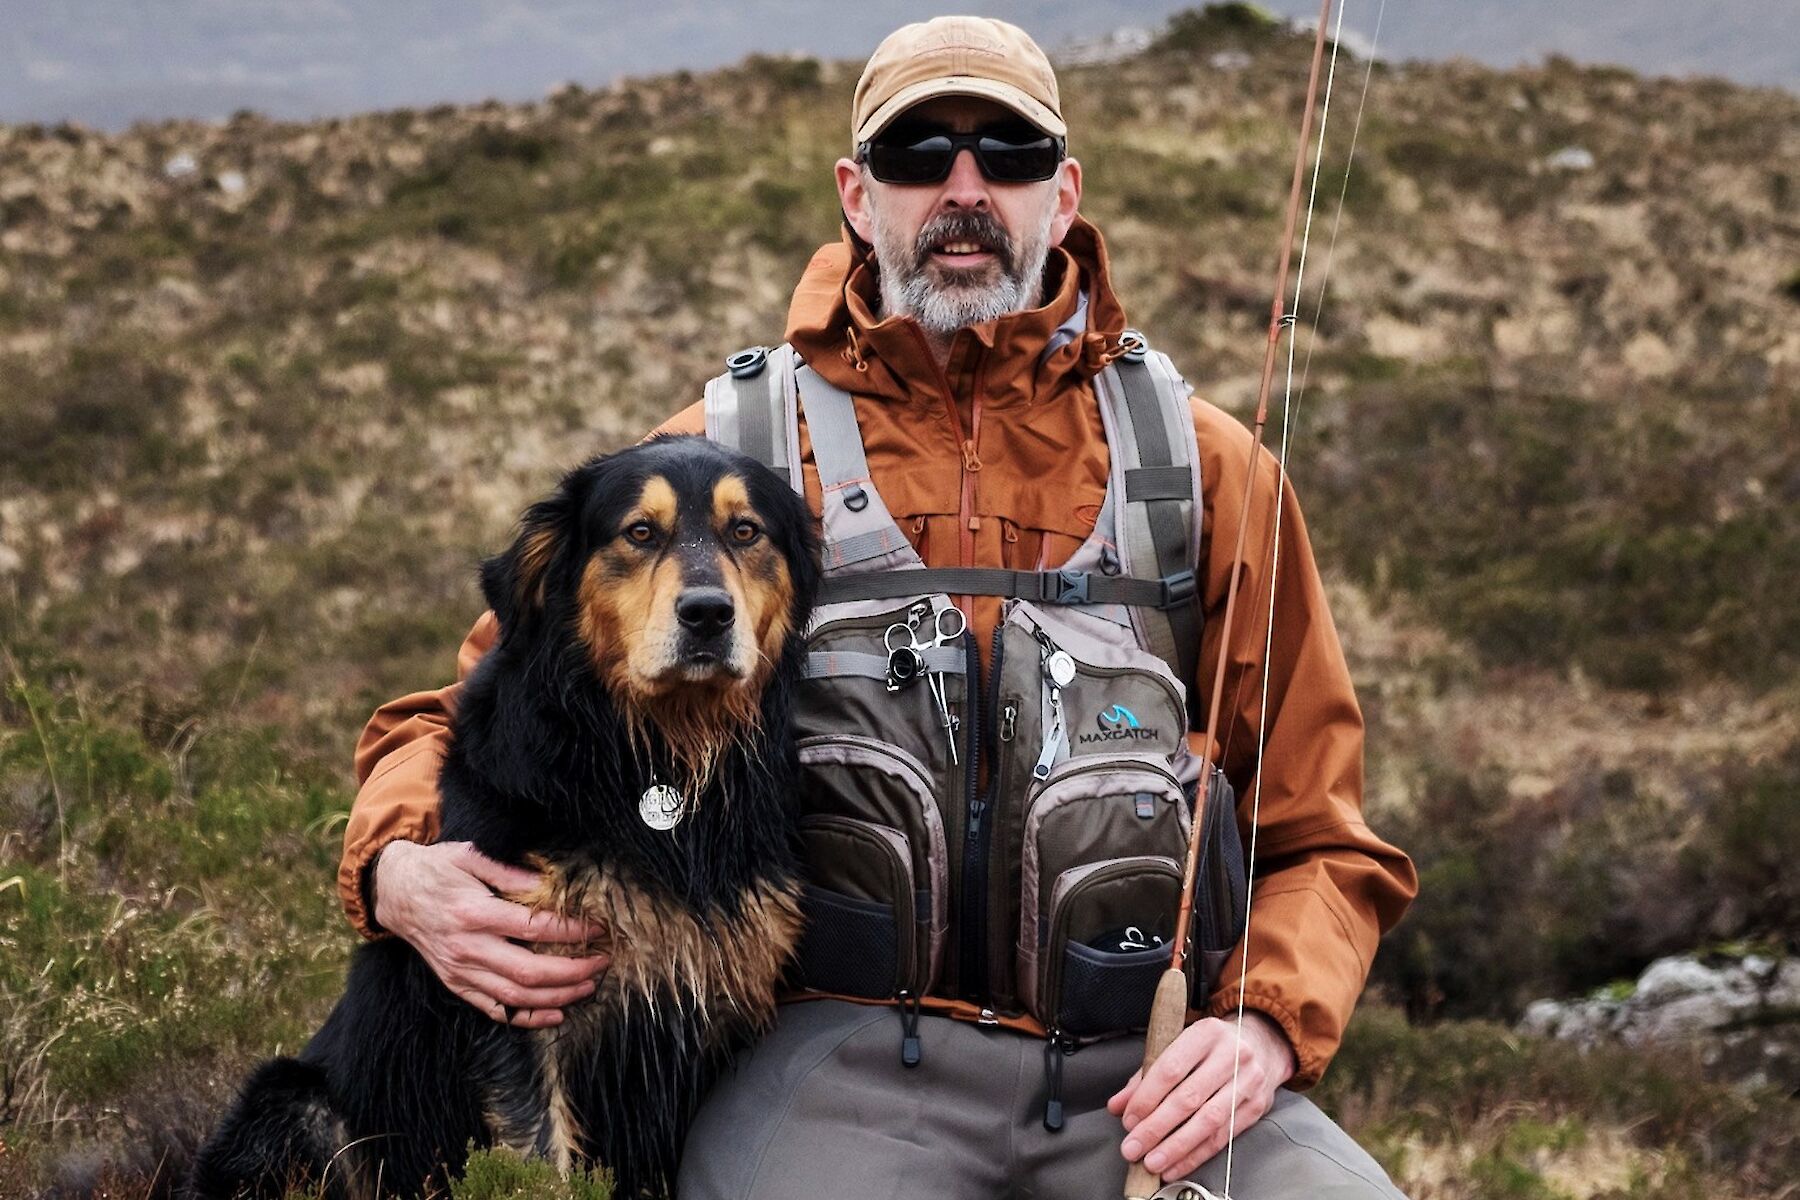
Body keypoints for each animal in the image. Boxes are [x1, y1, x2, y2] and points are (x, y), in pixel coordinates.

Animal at [186, 438, 820, 1200]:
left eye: (746, 531)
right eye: (640, 532)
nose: (707, 614)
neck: (654, 752)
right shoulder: (519, 1007)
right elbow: (543, 1160)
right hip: (293, 1107)